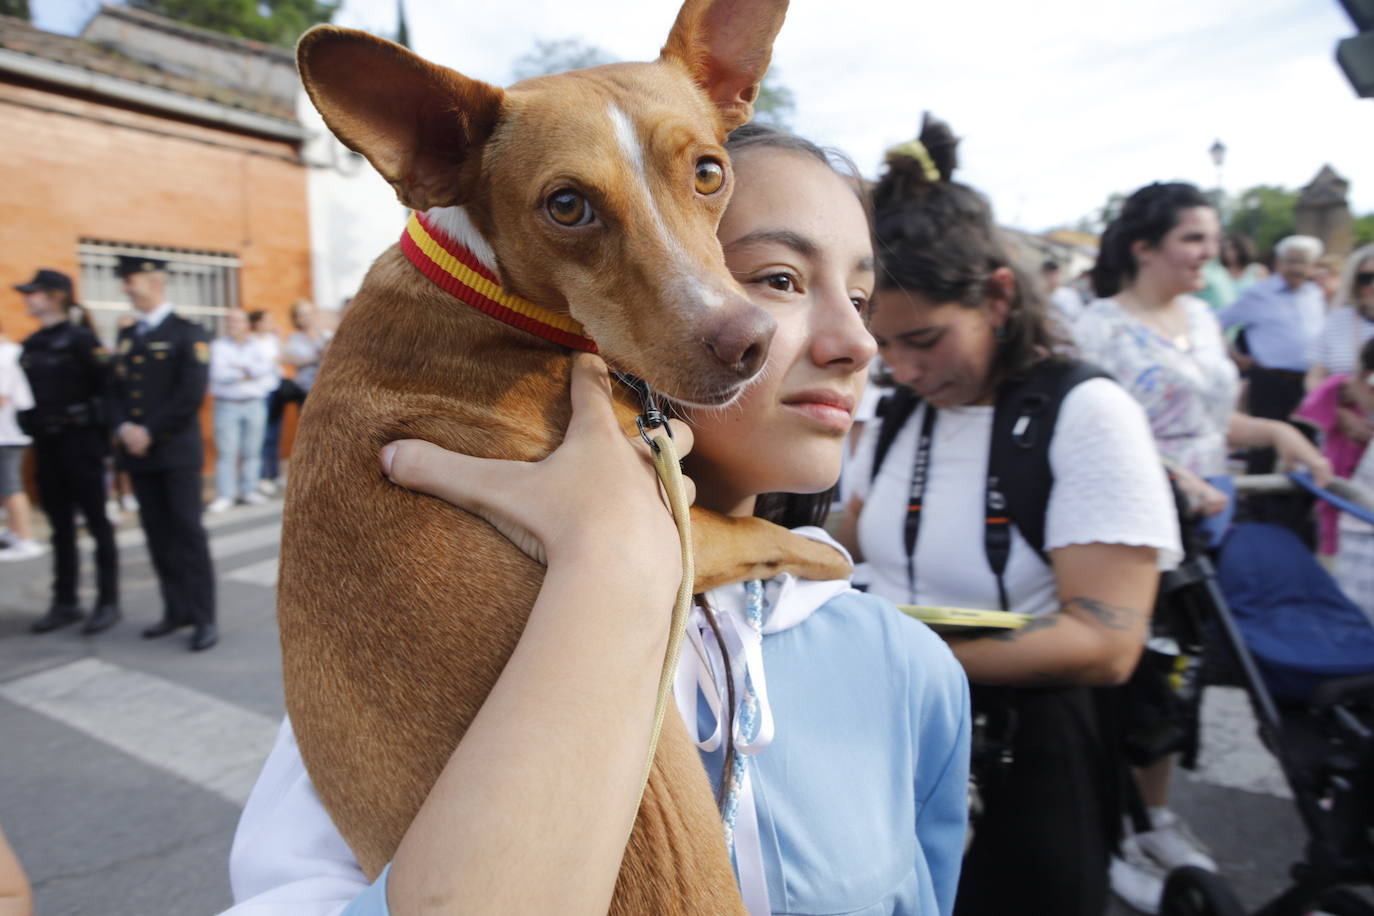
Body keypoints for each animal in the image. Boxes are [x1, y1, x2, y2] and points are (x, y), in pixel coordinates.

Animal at [281, 0, 846, 911]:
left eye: (710, 173)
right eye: (569, 205)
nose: (749, 344)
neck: (482, 287)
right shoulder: (677, 526)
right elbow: (763, 532)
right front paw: (831, 554)